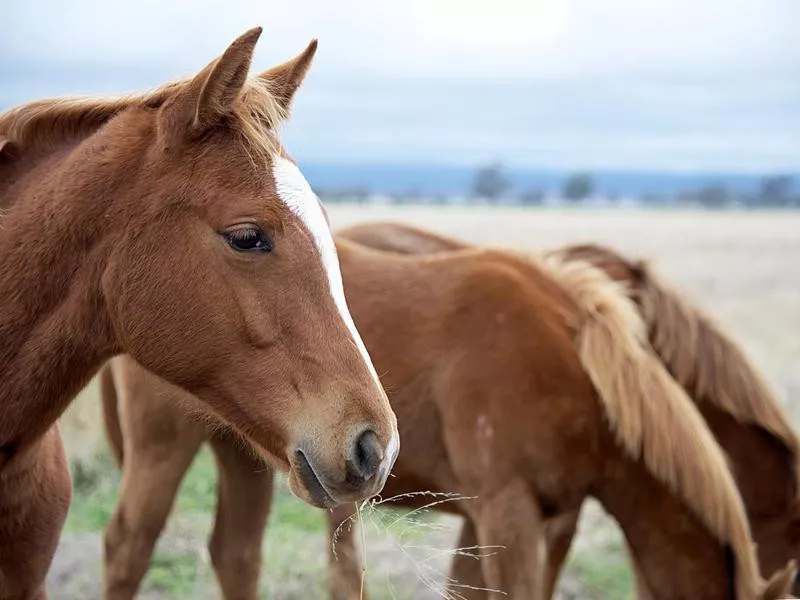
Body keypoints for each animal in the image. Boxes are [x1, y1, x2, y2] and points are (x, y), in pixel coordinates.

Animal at [100, 229, 792, 596]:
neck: (578, 371)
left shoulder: (510, 515)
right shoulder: (509, 511)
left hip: (245, 456)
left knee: (236, 554)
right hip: (163, 447)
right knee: (128, 547)